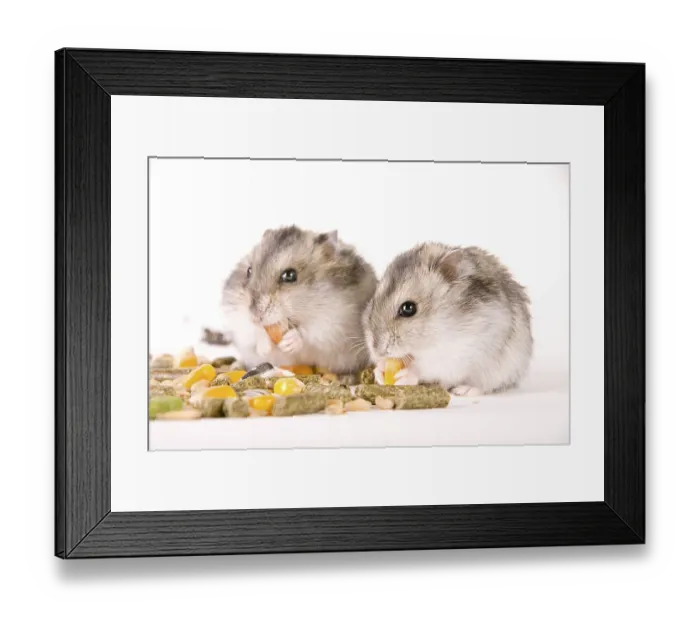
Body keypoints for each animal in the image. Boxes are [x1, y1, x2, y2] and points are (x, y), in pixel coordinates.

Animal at [222, 226, 378, 374]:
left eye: (290, 275)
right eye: (249, 271)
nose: (255, 316)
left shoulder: (335, 321)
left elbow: (310, 333)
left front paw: (288, 342)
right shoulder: (238, 320)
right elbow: (252, 332)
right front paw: (264, 348)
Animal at [363, 243, 533, 396]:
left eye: (408, 308)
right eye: (373, 301)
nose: (377, 351)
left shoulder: (460, 348)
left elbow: (428, 367)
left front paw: (406, 375)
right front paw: (380, 371)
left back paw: (464, 390)